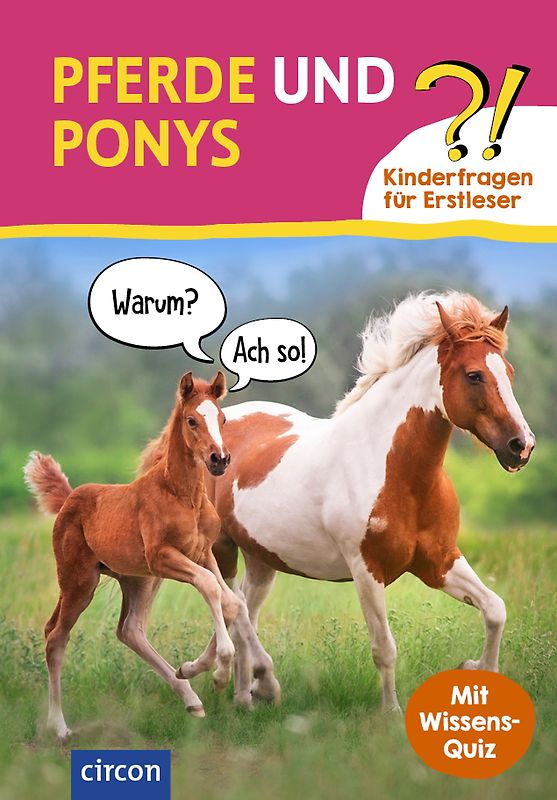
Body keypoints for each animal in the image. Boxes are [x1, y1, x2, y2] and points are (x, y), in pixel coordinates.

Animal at [24, 371, 248, 739]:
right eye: (192, 420)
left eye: (222, 419)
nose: (220, 459)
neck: (182, 495)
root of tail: (70, 498)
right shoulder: (163, 556)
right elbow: (209, 587)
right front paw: (219, 671)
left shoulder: (202, 553)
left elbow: (230, 601)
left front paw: (195, 668)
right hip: (79, 581)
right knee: (55, 637)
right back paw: (59, 726)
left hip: (136, 579)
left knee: (128, 630)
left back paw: (190, 698)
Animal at [140, 292, 536, 713]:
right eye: (474, 375)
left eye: (509, 372)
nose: (521, 446)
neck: (395, 472)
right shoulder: (367, 570)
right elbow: (384, 648)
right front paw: (391, 714)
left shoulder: (439, 561)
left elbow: (495, 609)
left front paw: (476, 669)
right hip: (221, 548)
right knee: (234, 604)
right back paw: (252, 680)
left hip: (262, 558)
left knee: (244, 606)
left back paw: (240, 694)